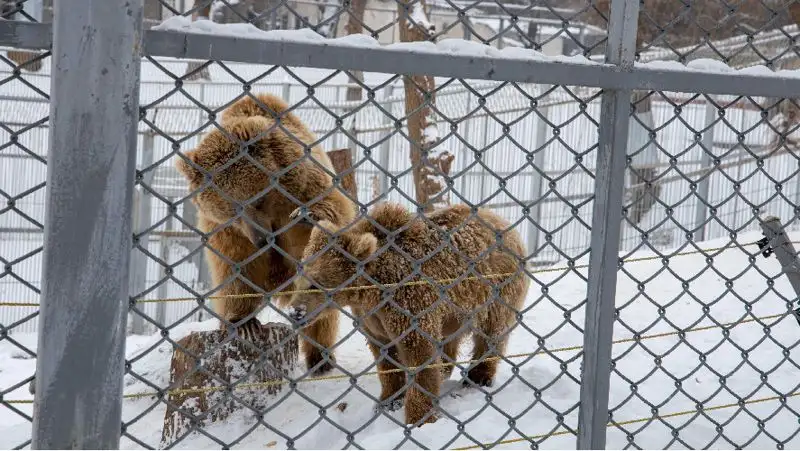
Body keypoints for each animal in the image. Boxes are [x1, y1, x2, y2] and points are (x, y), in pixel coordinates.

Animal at [175, 93, 356, 376]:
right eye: (231, 210)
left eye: (258, 200)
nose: (260, 239)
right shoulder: (226, 231)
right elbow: (236, 269)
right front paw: (243, 322)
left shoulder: (308, 185)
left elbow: (332, 214)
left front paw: (308, 215)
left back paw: (320, 358)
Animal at [284, 204, 528, 428]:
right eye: (299, 278)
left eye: (317, 283)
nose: (295, 312)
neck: (372, 289)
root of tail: (504, 223)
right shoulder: (372, 317)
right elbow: (385, 357)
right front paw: (388, 400)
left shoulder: (409, 301)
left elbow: (419, 354)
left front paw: (419, 417)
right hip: (457, 308)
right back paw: (446, 369)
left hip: (497, 290)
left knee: (492, 334)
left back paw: (478, 376)